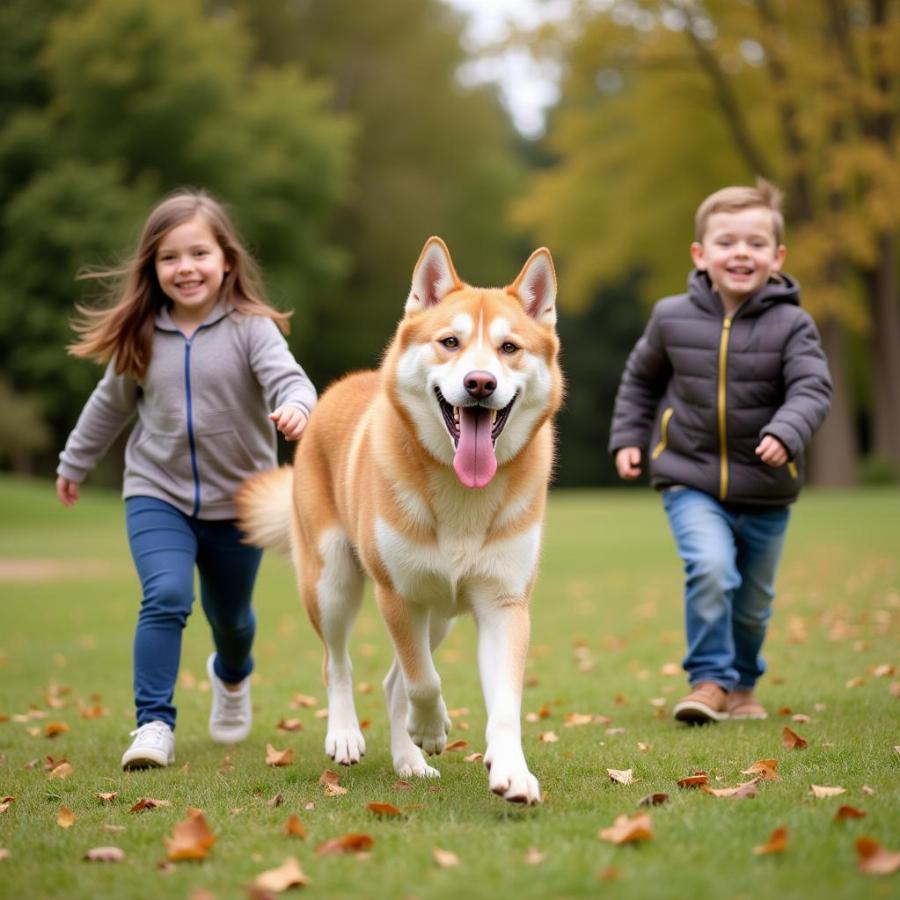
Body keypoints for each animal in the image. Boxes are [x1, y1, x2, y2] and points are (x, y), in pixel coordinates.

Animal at [239, 237, 564, 800]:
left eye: (509, 348)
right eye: (450, 342)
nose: (480, 383)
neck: (461, 494)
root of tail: (338, 388)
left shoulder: (503, 602)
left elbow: (502, 703)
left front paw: (511, 769)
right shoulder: (398, 595)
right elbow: (423, 680)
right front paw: (431, 729)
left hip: (440, 618)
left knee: (392, 681)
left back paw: (407, 761)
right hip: (333, 582)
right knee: (338, 663)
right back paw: (348, 735)